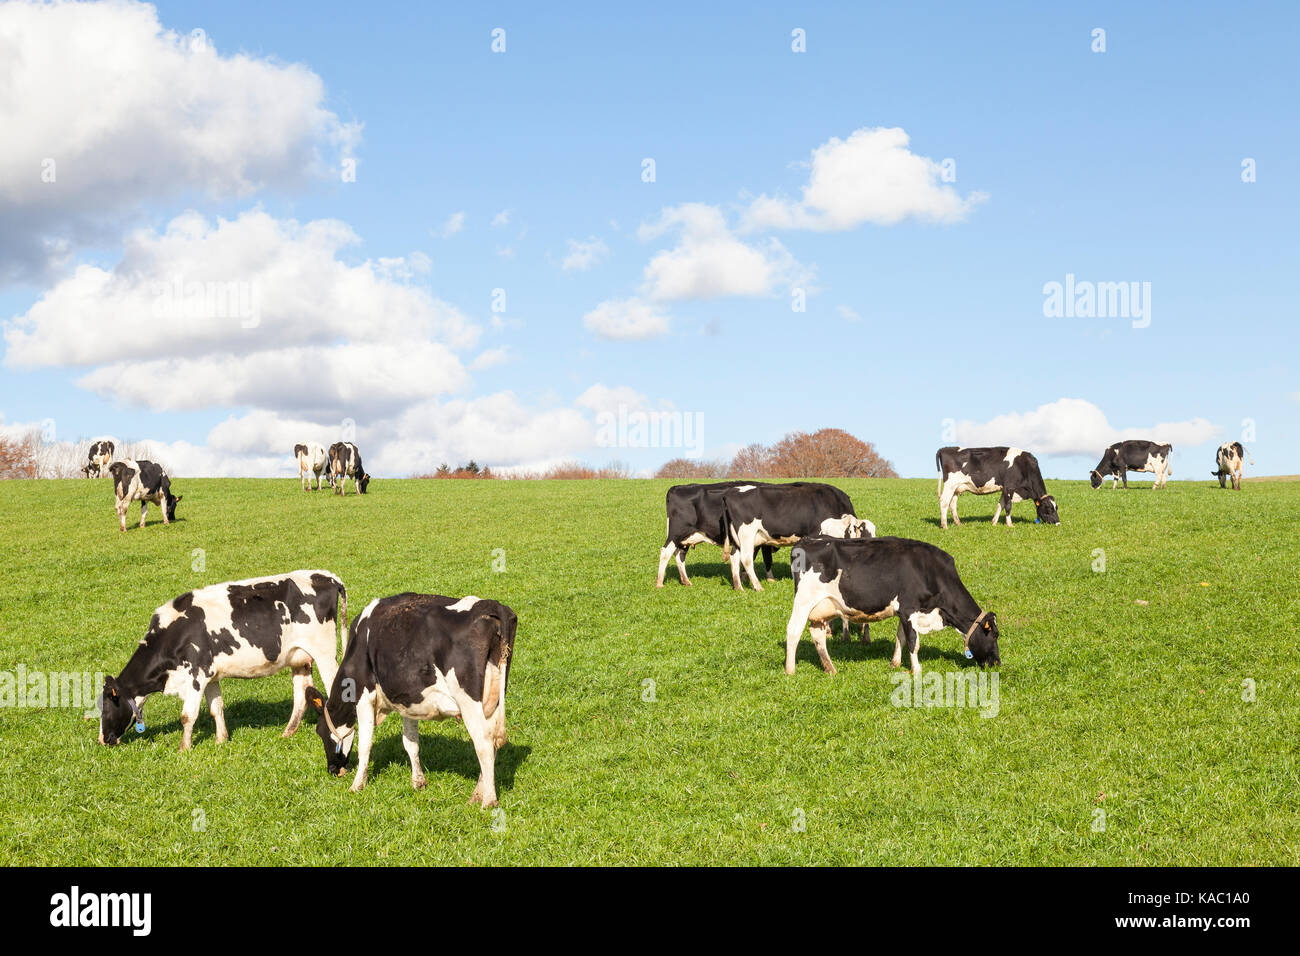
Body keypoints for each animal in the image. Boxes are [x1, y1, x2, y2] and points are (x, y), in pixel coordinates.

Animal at [99, 572, 348, 749]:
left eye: (105, 706)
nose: (102, 739)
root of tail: (326, 576)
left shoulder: (196, 675)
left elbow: (187, 716)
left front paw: (183, 748)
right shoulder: (211, 675)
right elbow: (216, 708)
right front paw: (221, 740)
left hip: (325, 653)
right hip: (299, 657)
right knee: (301, 694)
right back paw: (287, 732)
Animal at [302, 590, 512, 806]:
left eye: (320, 731)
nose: (332, 769)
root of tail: (493, 606)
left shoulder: (363, 697)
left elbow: (364, 744)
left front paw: (357, 785)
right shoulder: (407, 700)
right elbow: (410, 743)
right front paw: (418, 781)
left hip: (469, 702)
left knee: (484, 744)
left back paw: (488, 800)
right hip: (494, 699)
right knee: (493, 742)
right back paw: (478, 793)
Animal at [722, 486, 873, 590]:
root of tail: (731, 492)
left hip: (739, 538)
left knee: (734, 557)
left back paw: (739, 587)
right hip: (746, 534)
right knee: (746, 559)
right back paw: (758, 586)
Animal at [785, 535, 998, 676]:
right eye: (994, 635)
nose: (997, 663)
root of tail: (805, 541)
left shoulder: (903, 612)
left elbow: (900, 637)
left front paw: (895, 664)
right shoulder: (910, 609)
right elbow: (913, 641)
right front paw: (916, 670)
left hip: (821, 608)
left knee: (817, 634)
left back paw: (830, 669)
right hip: (803, 601)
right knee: (793, 631)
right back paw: (790, 670)